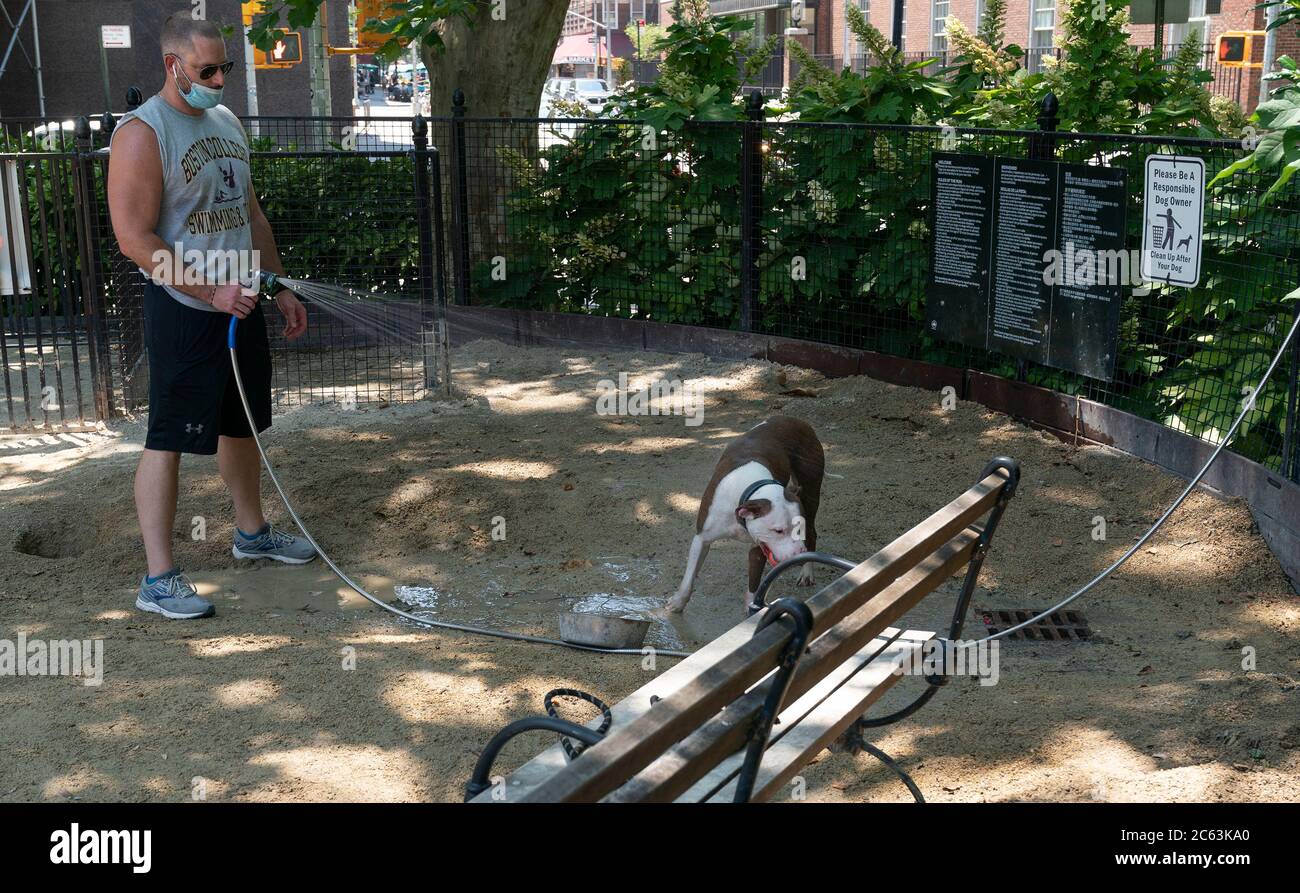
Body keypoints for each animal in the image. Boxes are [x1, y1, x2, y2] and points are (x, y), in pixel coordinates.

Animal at [670, 418, 821, 613]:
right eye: (778, 531)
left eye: (798, 530)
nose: (798, 555)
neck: (751, 489)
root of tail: (797, 420)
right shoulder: (702, 537)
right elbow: (689, 578)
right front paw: (677, 603)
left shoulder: (759, 546)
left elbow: (754, 587)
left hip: (810, 495)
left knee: (812, 533)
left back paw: (807, 573)